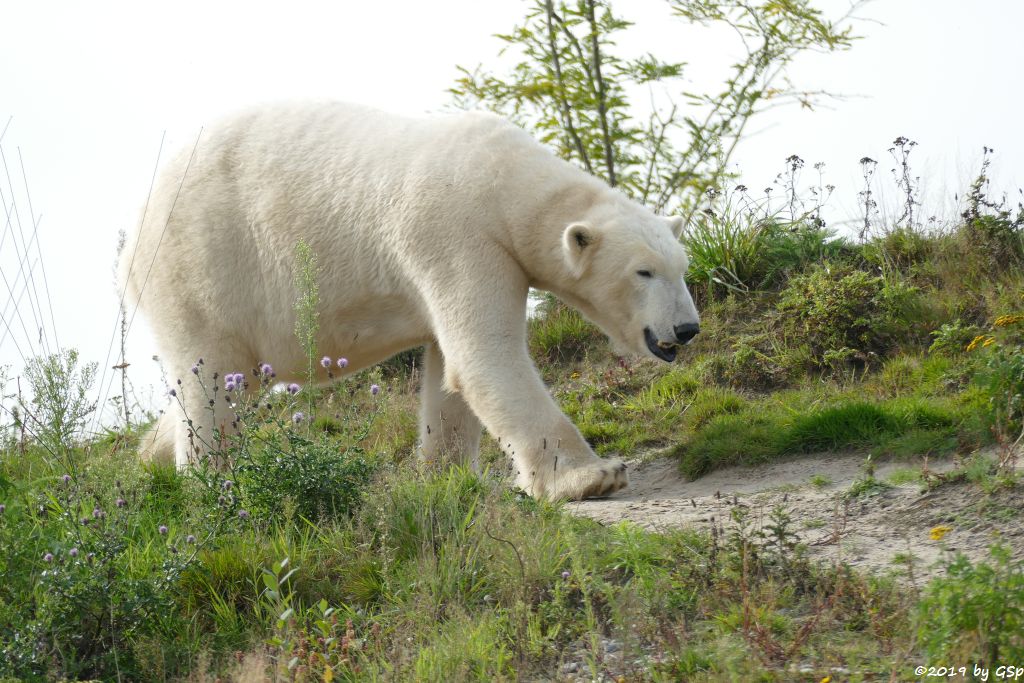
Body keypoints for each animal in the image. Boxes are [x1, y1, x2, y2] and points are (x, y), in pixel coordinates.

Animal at [117, 101, 696, 499]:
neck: (501, 181)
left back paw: (152, 454)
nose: (687, 329)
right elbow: (486, 358)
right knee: (210, 381)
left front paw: (447, 477)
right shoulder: (457, 236)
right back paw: (212, 484)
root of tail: (137, 225)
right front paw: (591, 475)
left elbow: (449, 374)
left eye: (682, 268)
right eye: (644, 271)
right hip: (203, 265)